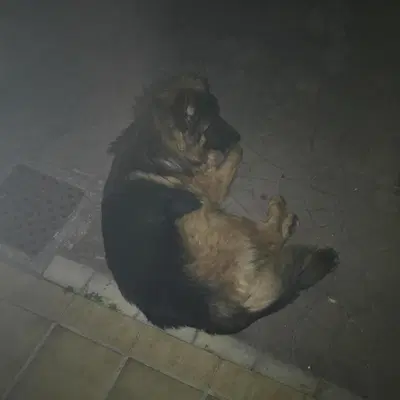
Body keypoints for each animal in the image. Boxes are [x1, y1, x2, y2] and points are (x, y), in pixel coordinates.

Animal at [101, 74, 338, 335]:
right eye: (210, 124)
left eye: (219, 114)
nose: (238, 136)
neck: (154, 137)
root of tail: (208, 312)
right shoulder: (212, 188)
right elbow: (233, 157)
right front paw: (227, 152)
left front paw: (213, 157)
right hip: (217, 219)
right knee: (270, 238)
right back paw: (281, 216)